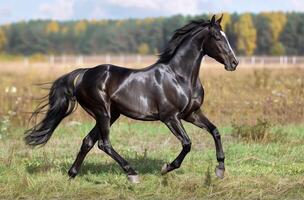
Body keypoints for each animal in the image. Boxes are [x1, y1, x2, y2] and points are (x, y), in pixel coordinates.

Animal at [24, 14, 238, 182]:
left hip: (112, 114)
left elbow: (215, 131)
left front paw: (220, 169)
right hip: (102, 113)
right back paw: (132, 173)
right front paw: (166, 168)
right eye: (217, 37)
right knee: (103, 143)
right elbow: (187, 143)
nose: (234, 63)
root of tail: (83, 74)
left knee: (88, 141)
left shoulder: (191, 113)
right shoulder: (170, 117)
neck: (180, 77)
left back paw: (72, 174)